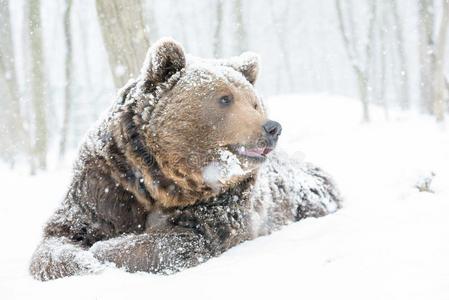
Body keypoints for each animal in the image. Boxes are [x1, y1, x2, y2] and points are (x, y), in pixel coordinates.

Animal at [29, 38, 342, 282]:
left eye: (254, 102)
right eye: (225, 99)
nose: (272, 127)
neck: (160, 178)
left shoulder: (222, 199)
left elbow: (183, 239)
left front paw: (104, 250)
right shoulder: (108, 181)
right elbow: (60, 236)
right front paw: (83, 257)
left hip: (307, 192)